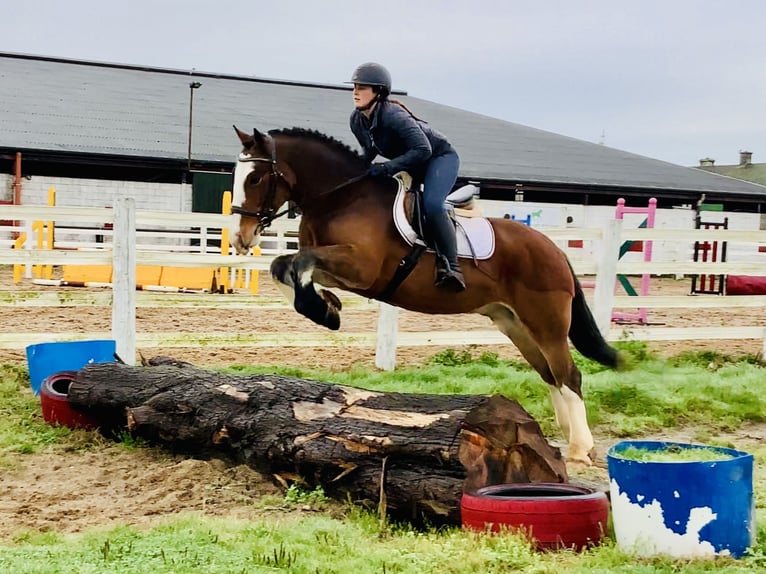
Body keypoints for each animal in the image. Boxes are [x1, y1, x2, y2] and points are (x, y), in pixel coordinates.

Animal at [229, 125, 622, 467]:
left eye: (255, 178)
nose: (239, 238)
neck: (342, 198)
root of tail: (554, 250)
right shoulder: (341, 268)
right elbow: (285, 266)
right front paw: (327, 307)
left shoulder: (361, 268)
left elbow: (298, 262)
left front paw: (323, 308)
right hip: (514, 323)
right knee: (550, 374)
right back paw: (565, 437)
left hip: (546, 321)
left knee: (568, 374)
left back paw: (579, 449)